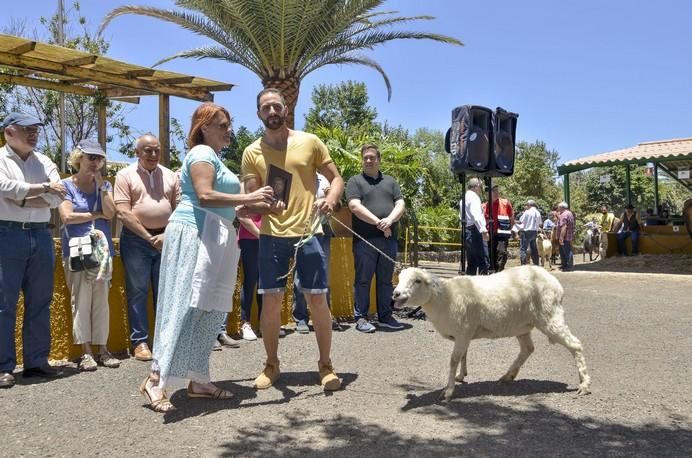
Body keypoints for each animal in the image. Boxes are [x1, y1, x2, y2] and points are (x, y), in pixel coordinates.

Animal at [392, 264, 592, 400]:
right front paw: (461, 376)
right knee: (527, 349)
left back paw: (584, 384)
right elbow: (463, 356)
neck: (443, 298)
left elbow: (454, 360)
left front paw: (448, 391)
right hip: (522, 325)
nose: (395, 294)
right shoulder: (465, 333)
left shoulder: (463, 332)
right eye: (400, 278)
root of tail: (555, 283)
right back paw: (508, 376)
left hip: (550, 316)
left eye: (417, 281)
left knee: (575, 345)